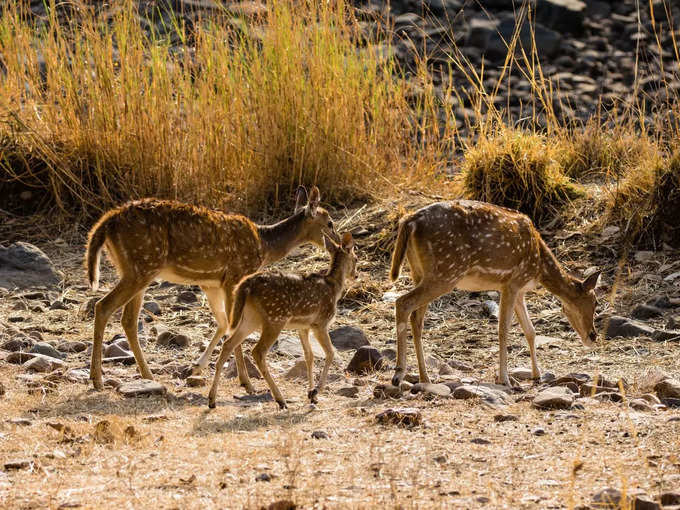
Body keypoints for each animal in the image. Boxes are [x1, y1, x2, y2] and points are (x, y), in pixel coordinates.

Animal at [85, 186, 338, 390]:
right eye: (330, 222)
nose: (338, 244)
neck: (264, 245)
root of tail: (108, 221)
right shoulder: (235, 275)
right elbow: (233, 328)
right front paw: (246, 383)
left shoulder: (210, 283)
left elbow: (224, 323)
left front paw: (196, 366)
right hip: (141, 266)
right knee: (103, 306)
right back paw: (97, 379)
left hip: (134, 268)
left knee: (127, 319)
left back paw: (147, 375)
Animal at [207, 231, 358, 410]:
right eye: (356, 258)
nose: (356, 275)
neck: (334, 288)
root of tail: (246, 284)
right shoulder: (320, 323)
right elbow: (330, 353)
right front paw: (316, 391)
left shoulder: (303, 327)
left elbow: (309, 356)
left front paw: (311, 395)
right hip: (275, 318)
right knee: (257, 351)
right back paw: (280, 399)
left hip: (251, 318)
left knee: (228, 344)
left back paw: (212, 400)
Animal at [388, 199, 600, 386]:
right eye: (595, 302)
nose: (593, 336)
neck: (539, 266)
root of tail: (409, 221)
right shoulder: (512, 283)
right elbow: (503, 329)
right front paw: (504, 379)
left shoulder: (518, 290)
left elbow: (530, 331)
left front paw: (537, 375)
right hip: (445, 272)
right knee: (403, 302)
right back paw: (398, 374)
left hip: (419, 272)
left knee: (417, 318)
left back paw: (424, 377)